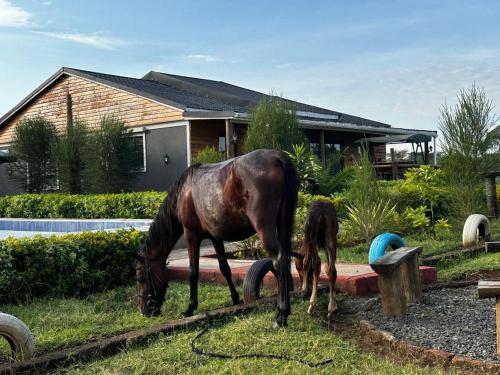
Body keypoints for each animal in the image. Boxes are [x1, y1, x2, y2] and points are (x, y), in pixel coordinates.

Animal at [134, 150, 296, 328]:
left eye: (140, 278)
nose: (144, 311)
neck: (185, 192)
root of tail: (277, 157)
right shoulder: (215, 237)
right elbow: (224, 268)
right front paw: (235, 298)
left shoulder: (191, 235)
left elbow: (193, 271)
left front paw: (190, 308)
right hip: (283, 225)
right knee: (285, 260)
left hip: (264, 228)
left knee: (278, 262)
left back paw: (281, 315)